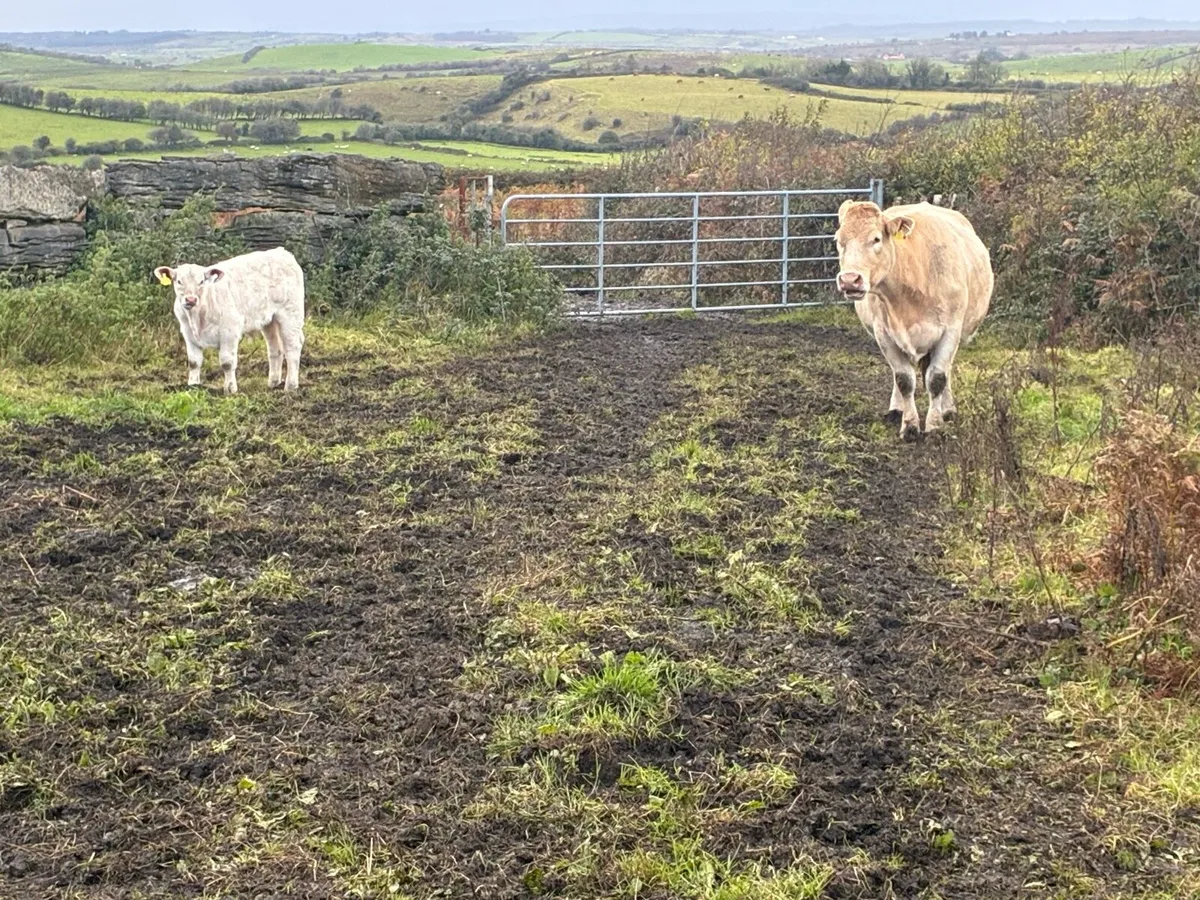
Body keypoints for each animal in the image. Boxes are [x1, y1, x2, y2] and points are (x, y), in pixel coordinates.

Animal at [153, 247, 305, 395]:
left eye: (201, 282)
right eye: (179, 281)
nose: (191, 300)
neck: (199, 316)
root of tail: (282, 252)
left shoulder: (230, 330)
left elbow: (227, 362)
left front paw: (230, 389)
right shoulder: (188, 333)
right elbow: (194, 362)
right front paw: (193, 386)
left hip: (291, 314)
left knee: (293, 347)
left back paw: (290, 386)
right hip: (269, 320)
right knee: (275, 348)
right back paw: (273, 383)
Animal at [834, 200, 993, 442]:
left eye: (876, 239)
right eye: (839, 240)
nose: (850, 280)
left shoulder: (950, 332)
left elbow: (937, 378)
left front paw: (935, 426)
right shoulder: (883, 334)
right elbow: (904, 380)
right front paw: (909, 426)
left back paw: (948, 410)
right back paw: (896, 409)